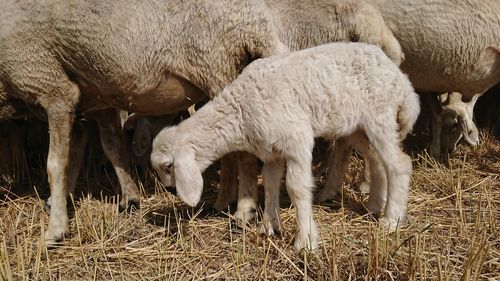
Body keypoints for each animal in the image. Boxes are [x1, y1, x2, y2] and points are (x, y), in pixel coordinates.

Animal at [0, 0, 290, 245]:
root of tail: (255, 17)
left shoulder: (51, 85)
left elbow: (55, 165)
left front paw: (55, 230)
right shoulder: (91, 100)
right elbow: (107, 148)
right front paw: (126, 198)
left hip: (217, 64)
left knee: (242, 150)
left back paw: (243, 211)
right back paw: (222, 202)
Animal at [150, 42, 420, 252]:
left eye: (168, 166)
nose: (170, 190)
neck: (240, 109)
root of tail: (402, 81)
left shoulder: (297, 139)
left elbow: (296, 188)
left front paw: (306, 241)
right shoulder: (271, 151)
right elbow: (270, 183)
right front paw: (269, 226)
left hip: (380, 115)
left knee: (399, 164)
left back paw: (392, 219)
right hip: (358, 126)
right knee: (377, 161)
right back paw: (375, 205)